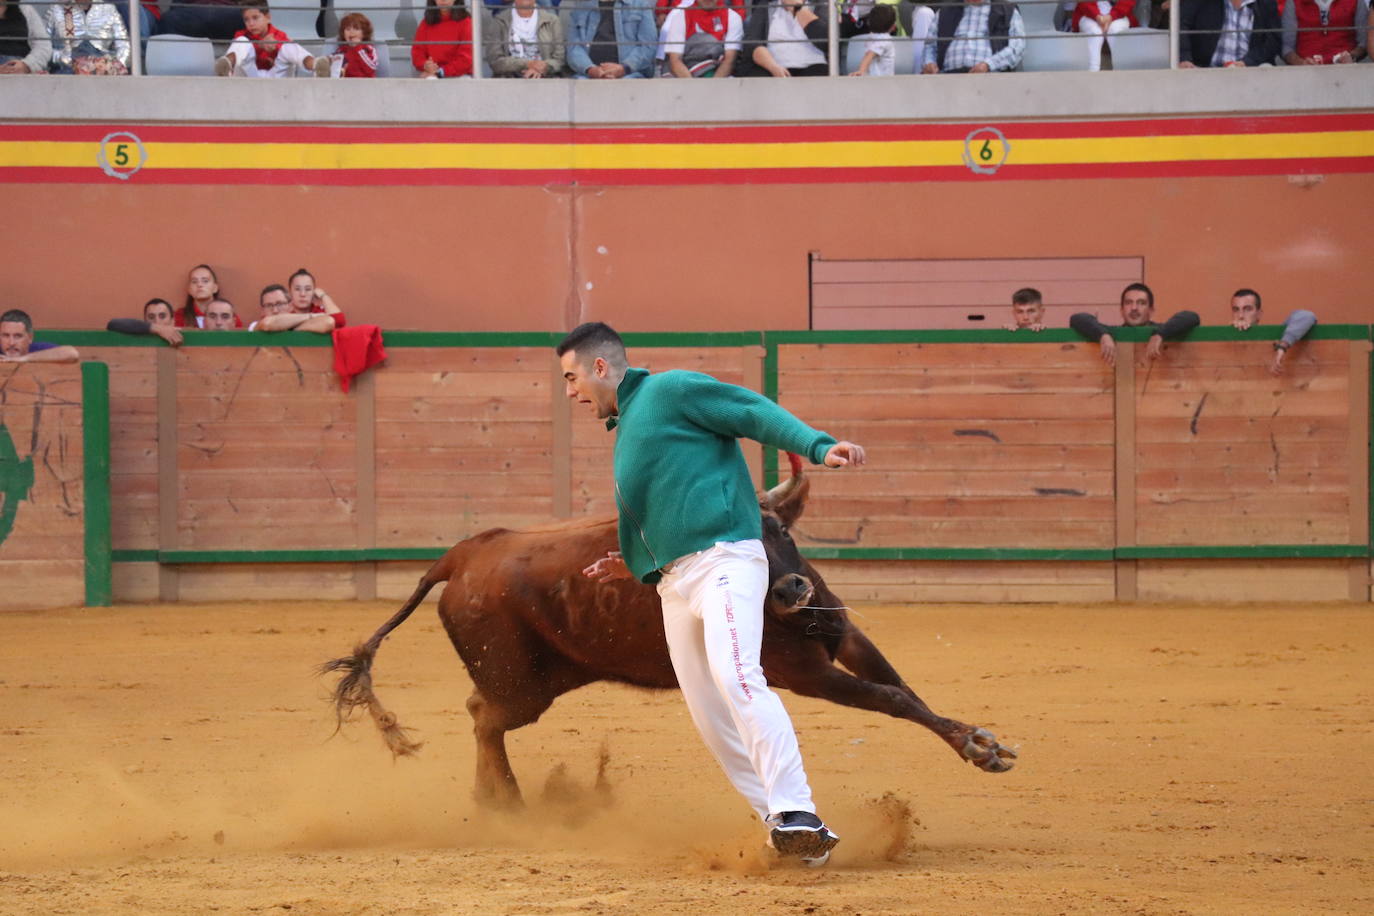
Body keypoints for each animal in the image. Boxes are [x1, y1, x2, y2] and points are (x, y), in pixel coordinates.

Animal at [321, 461, 1011, 807]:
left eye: (779, 531)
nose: (793, 591)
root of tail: (461, 555)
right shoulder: (807, 674)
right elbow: (890, 698)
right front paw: (978, 746)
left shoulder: (844, 634)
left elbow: (904, 689)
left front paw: (980, 743)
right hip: (522, 686)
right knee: (487, 719)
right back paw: (510, 804)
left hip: (531, 678)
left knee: (475, 711)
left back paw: (487, 798)